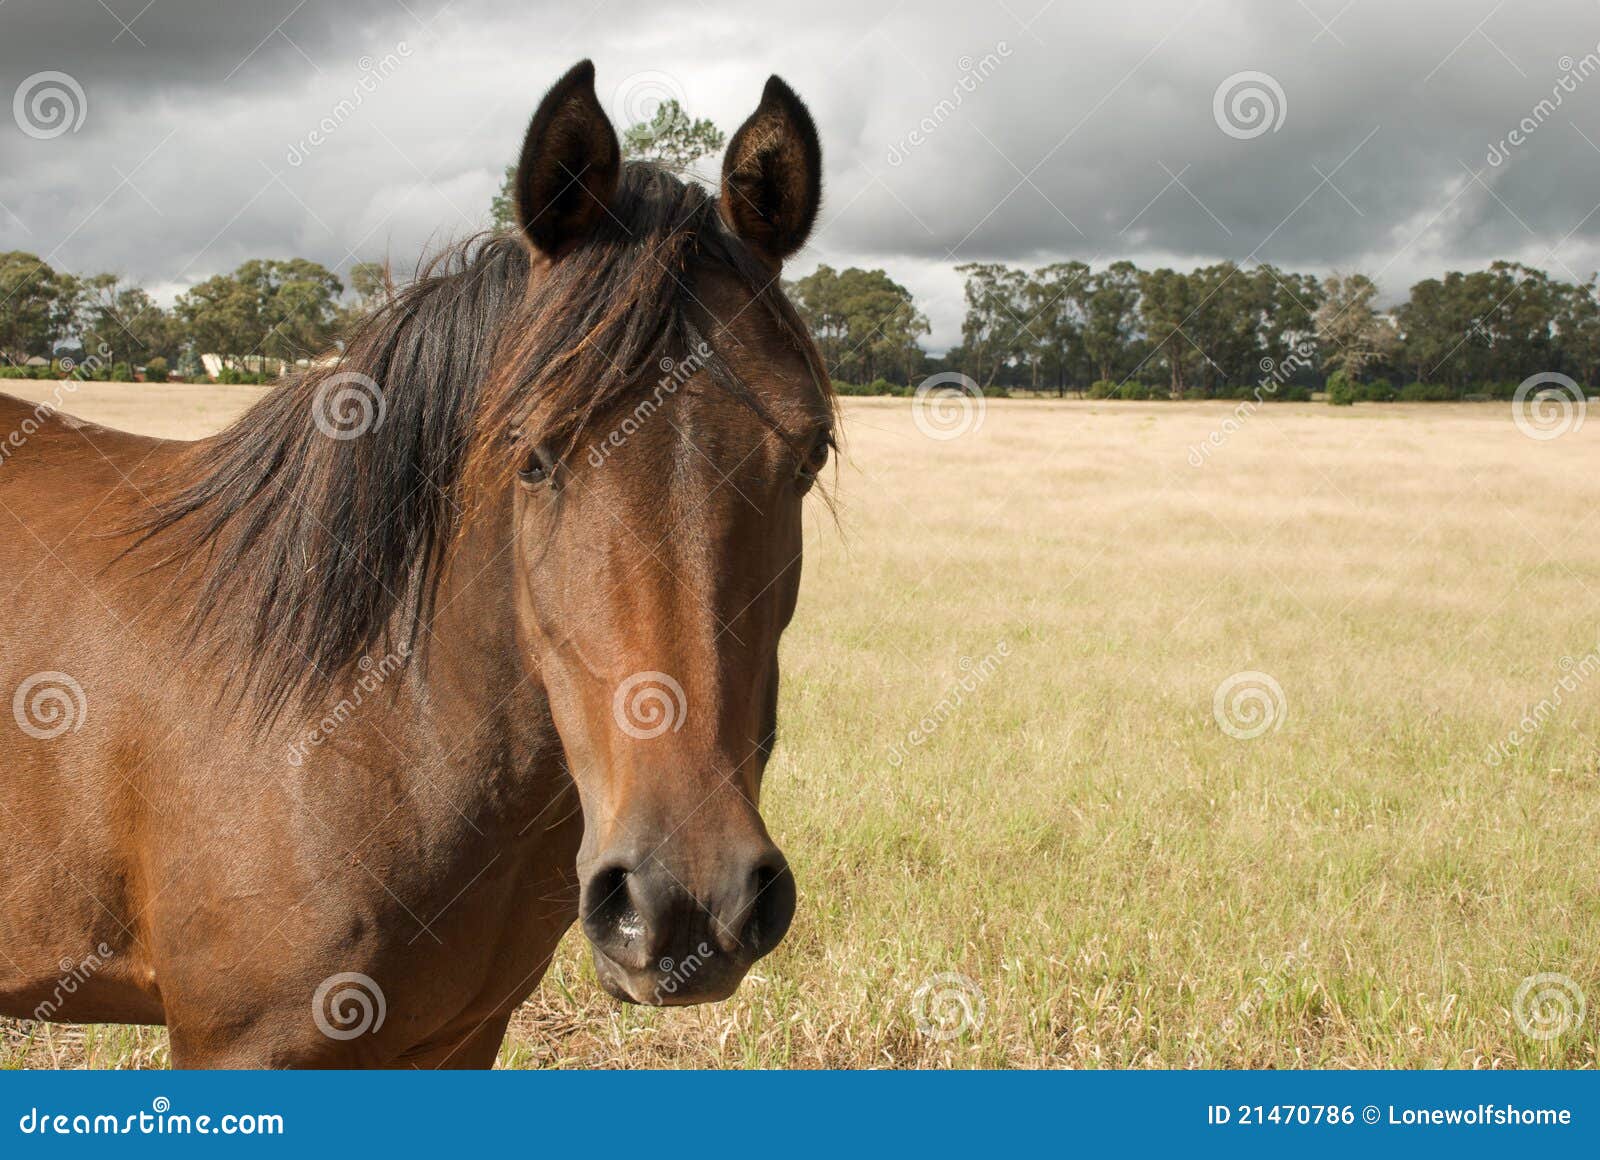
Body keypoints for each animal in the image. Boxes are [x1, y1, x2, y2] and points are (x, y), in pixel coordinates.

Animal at [0, 60, 834, 1068]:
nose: (685, 903)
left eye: (810, 453)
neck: (355, 718)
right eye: (532, 456)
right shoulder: (234, 1046)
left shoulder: (461, 1038)